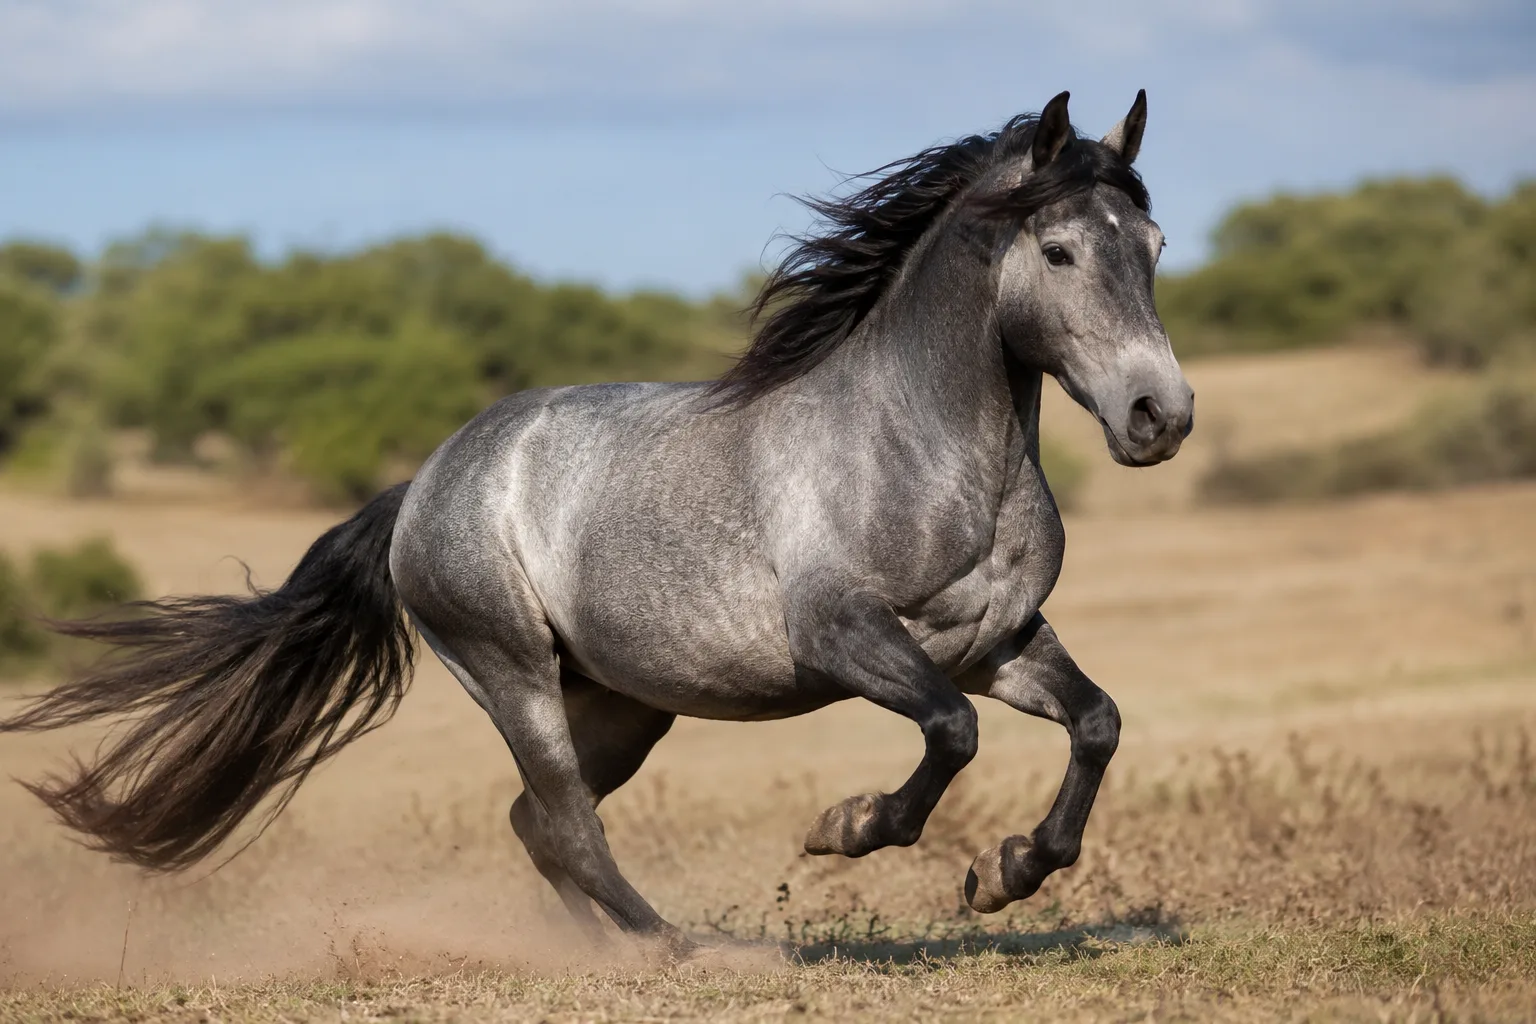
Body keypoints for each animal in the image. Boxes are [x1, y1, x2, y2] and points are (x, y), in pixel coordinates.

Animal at [1, 90, 1192, 956]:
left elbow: (1095, 723)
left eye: (1155, 243)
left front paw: (1006, 873)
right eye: (1058, 253)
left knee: (539, 824)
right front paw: (847, 828)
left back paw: (602, 948)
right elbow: (951, 733)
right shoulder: (847, 637)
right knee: (568, 819)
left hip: (621, 704)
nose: (1160, 414)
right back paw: (682, 948)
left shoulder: (997, 641)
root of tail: (423, 485)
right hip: (514, 672)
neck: (924, 450)